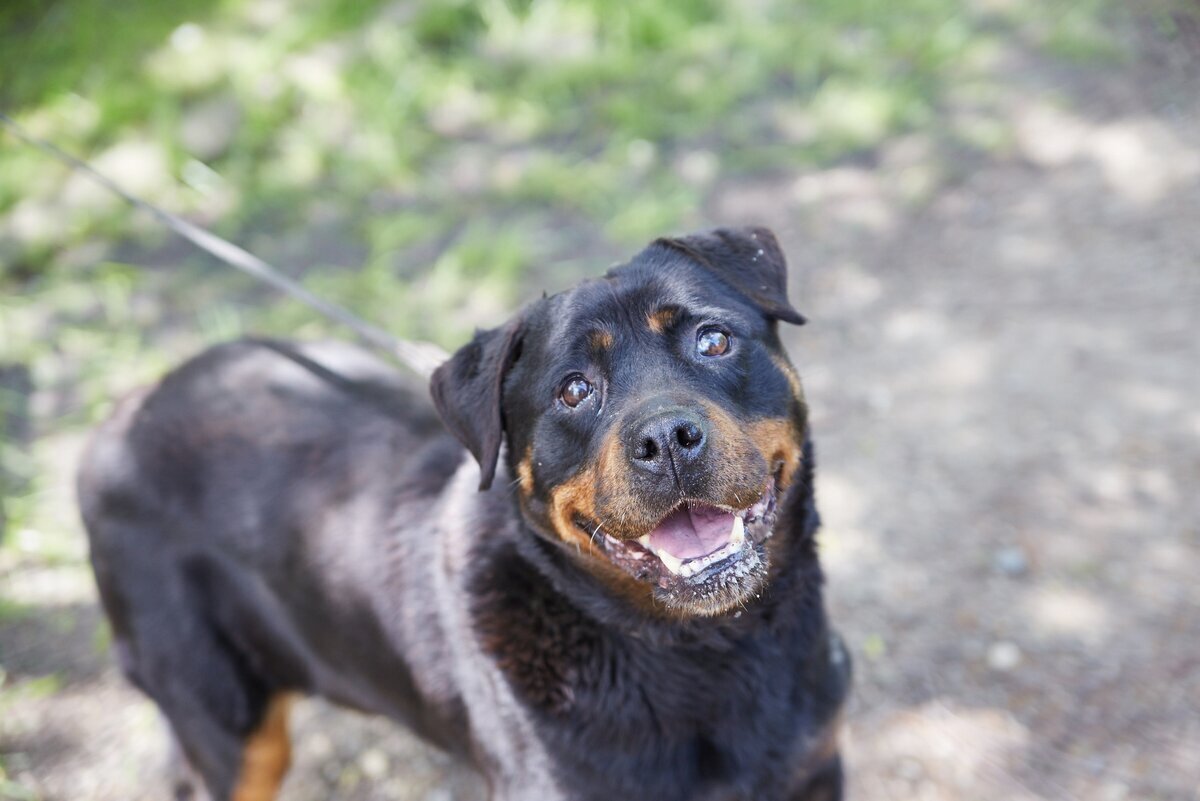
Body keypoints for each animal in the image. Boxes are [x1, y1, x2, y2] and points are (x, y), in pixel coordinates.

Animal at [79, 226, 849, 801]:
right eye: (573, 390)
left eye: (713, 340)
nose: (665, 440)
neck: (705, 647)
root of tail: (118, 418)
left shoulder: (814, 769)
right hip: (228, 721)